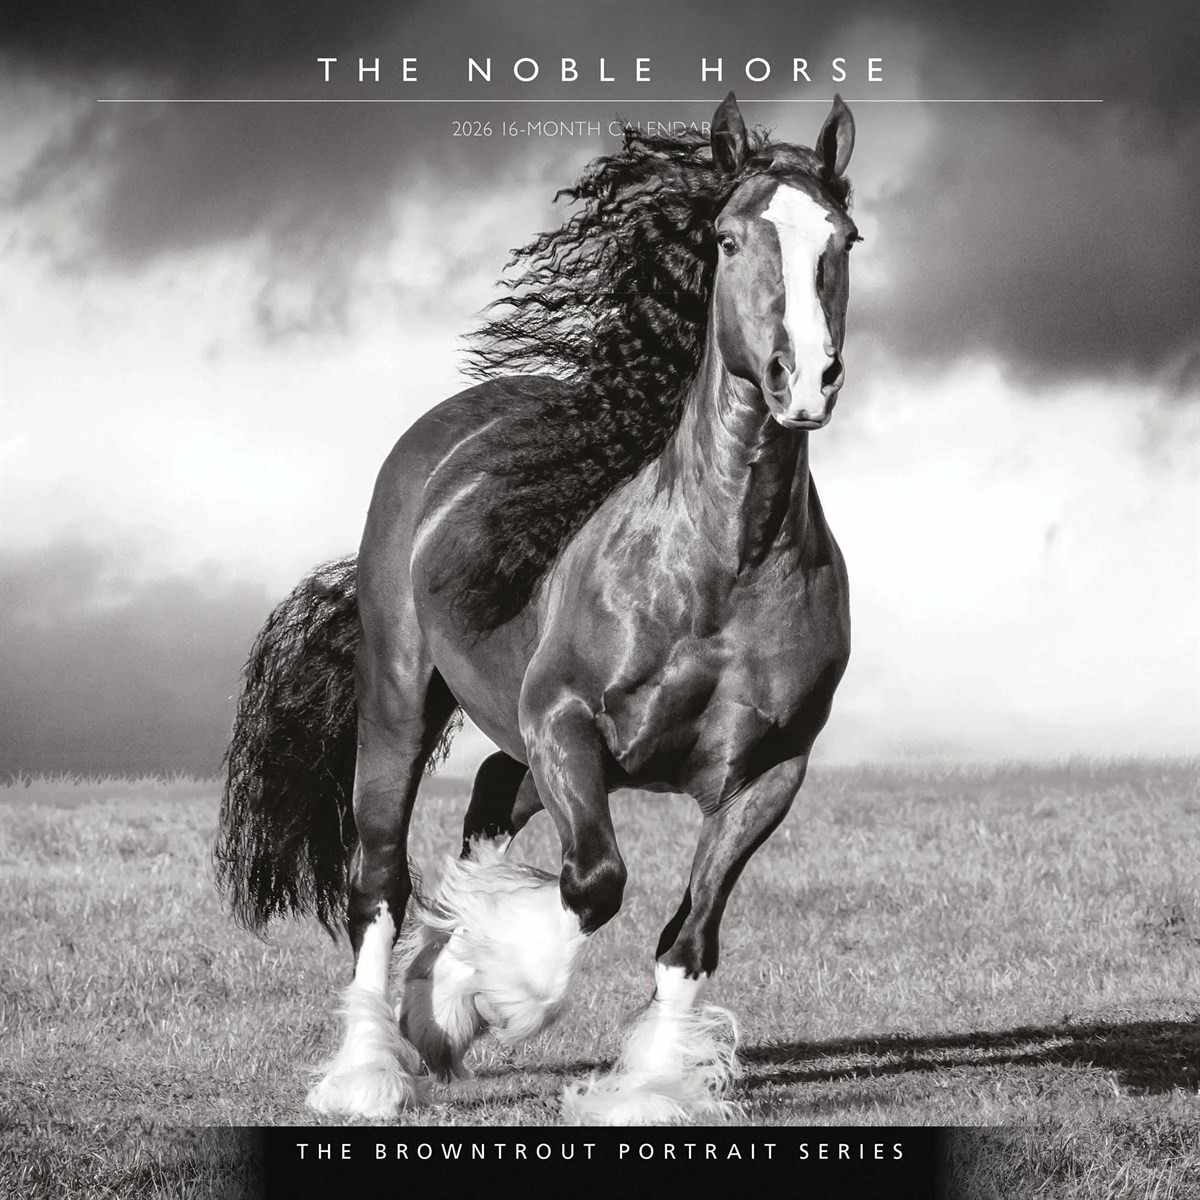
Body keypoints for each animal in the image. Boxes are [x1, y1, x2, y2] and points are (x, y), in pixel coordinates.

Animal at [215, 91, 859, 1125]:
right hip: (403, 703)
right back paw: (368, 1068)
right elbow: (595, 883)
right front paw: (488, 994)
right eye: (725, 240)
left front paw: (646, 1085)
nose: (802, 378)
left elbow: (690, 934)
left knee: (485, 800)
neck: (720, 566)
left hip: (515, 734)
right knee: (379, 880)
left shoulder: (770, 773)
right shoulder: (564, 724)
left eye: (845, 238)